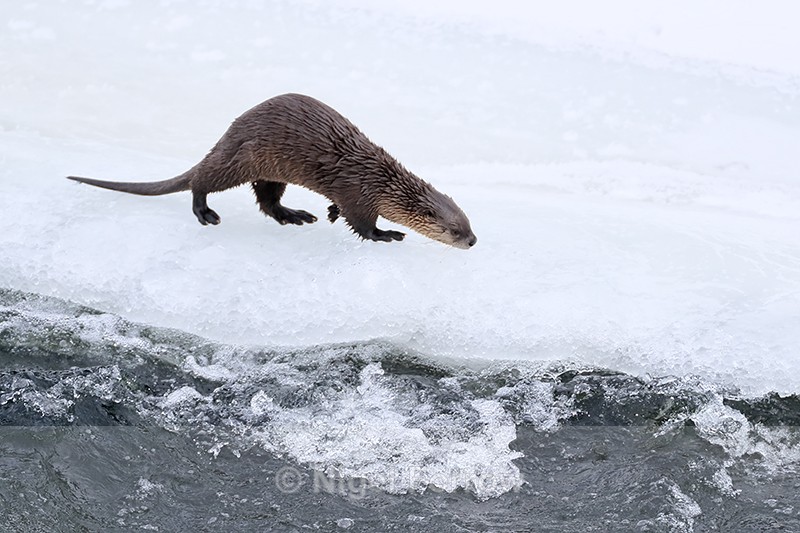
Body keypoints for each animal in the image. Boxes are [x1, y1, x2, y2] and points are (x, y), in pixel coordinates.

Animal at [67, 93, 476, 249]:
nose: (473, 241)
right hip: (242, 158)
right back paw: (205, 212)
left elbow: (339, 210)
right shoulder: (359, 194)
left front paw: (329, 213)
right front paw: (386, 235)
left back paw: (293, 215)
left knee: (266, 200)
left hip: (270, 170)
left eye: (469, 223)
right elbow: (362, 225)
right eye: (454, 230)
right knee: (202, 180)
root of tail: (230, 132)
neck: (381, 181)